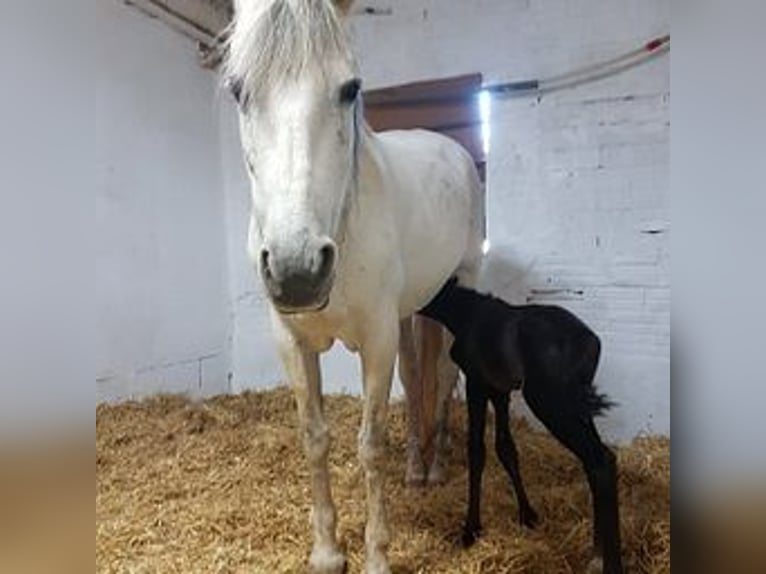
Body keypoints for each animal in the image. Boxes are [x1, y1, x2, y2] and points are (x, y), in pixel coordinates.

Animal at [420, 276, 624, 572]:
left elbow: (477, 451)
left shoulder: (477, 383)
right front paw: (527, 515)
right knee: (598, 460)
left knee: (600, 461)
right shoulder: (500, 391)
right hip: (577, 408)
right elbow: (506, 448)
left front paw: (471, 530)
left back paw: (599, 561)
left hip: (550, 404)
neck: (467, 312)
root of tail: (591, 343)